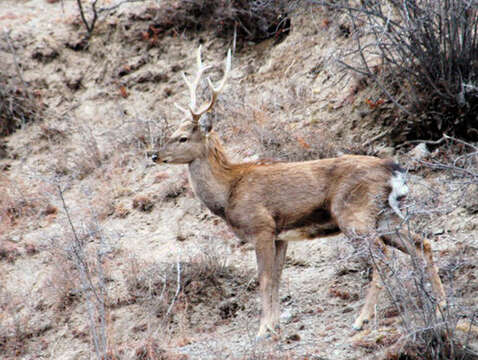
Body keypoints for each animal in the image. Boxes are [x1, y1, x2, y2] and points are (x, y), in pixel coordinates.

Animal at [151, 46, 446, 338]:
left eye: (182, 138)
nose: (154, 154)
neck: (228, 191)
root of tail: (393, 170)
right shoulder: (281, 235)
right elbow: (277, 278)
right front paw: (275, 324)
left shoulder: (261, 226)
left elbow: (264, 278)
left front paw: (263, 329)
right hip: (387, 215)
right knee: (422, 244)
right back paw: (440, 305)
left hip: (354, 215)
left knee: (383, 259)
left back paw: (362, 319)